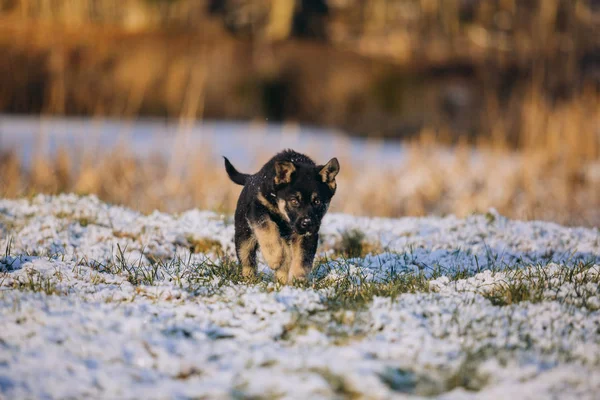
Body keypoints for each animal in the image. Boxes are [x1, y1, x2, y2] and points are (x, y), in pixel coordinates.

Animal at [223, 150, 340, 284]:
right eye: (294, 201)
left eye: (317, 202)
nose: (307, 223)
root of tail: (250, 178)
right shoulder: (257, 207)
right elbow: (267, 227)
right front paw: (274, 257)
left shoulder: (307, 234)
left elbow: (303, 257)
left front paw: (298, 280)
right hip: (244, 235)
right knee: (247, 259)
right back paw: (250, 279)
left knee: (286, 261)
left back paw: (282, 282)